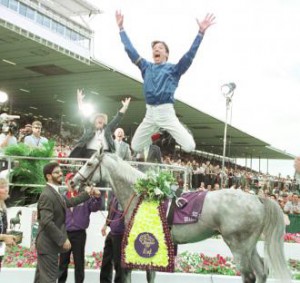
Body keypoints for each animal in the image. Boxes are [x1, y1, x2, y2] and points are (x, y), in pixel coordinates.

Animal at [71, 151, 292, 283]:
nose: (73, 182)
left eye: (89, 163)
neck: (145, 195)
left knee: (249, 276)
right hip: (249, 246)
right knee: (262, 272)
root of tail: (257, 199)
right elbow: (150, 274)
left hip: (238, 246)